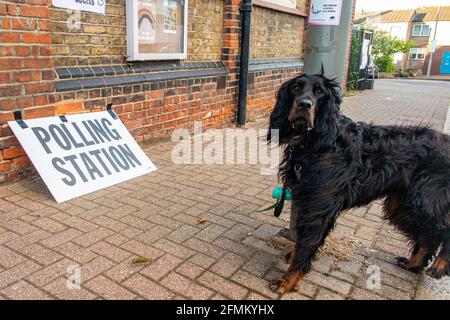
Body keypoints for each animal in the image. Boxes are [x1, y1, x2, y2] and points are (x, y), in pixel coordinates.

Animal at [268, 71, 450, 294]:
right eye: (296, 88)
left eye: (319, 92)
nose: (304, 105)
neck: (315, 142)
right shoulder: (309, 200)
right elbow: (305, 241)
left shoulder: (319, 205)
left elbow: (306, 243)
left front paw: (288, 280)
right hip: (401, 204)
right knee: (429, 237)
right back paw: (413, 264)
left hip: (423, 200)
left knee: (443, 229)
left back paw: (439, 266)